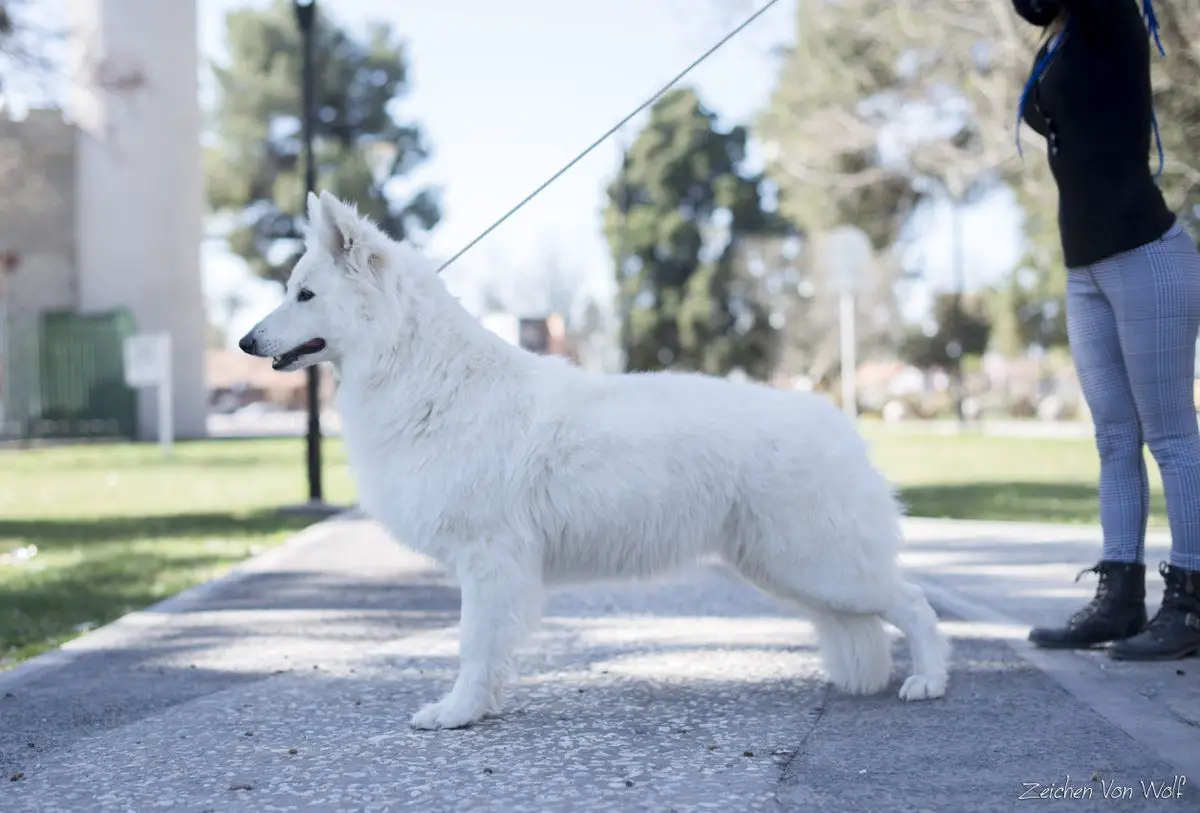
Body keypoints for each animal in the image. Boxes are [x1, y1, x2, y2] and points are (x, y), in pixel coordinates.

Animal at [238, 190, 950, 733]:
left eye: (304, 295)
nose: (245, 341)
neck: (423, 372)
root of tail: (839, 422)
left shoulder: (490, 560)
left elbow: (473, 645)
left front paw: (457, 713)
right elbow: (486, 650)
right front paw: (479, 708)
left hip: (820, 564)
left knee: (915, 603)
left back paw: (930, 682)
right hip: (788, 569)